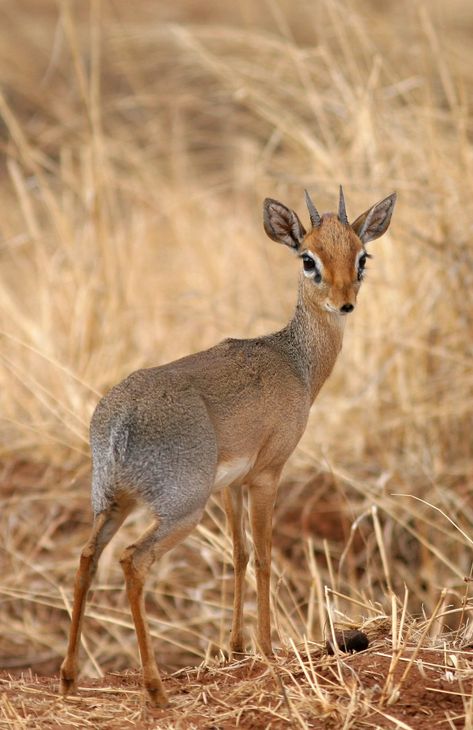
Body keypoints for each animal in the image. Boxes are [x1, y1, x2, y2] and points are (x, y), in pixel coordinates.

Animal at [60, 185, 396, 704]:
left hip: (113, 501)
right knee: (133, 561)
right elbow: (264, 557)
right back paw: (155, 689)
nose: (344, 304)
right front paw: (267, 649)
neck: (295, 362)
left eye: (361, 256)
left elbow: (238, 556)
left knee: (86, 558)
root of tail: (117, 425)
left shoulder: (231, 485)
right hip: (182, 509)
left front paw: (237, 648)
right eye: (308, 259)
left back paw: (69, 678)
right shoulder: (268, 474)